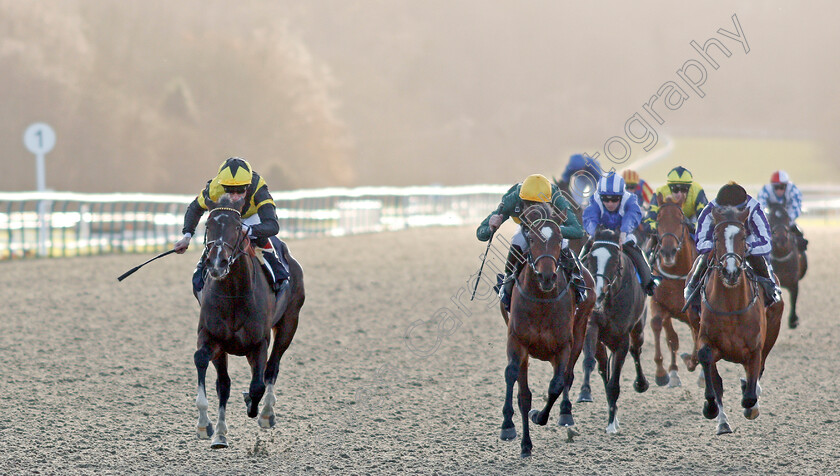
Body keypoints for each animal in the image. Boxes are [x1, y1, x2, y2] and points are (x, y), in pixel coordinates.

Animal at [194, 193, 306, 446]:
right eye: (208, 225)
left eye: (237, 227)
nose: (217, 263)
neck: (234, 293)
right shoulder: (212, 337)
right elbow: (208, 368)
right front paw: (209, 427)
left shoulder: (259, 343)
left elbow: (257, 386)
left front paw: (254, 408)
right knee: (227, 383)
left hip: (289, 323)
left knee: (272, 368)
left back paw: (266, 414)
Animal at [502, 204, 592, 458]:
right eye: (531, 238)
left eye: (560, 239)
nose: (547, 276)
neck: (542, 300)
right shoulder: (516, 341)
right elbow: (514, 379)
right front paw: (509, 427)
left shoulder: (564, 346)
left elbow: (556, 385)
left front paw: (539, 416)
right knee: (523, 392)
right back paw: (524, 442)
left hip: (579, 333)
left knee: (567, 376)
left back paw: (565, 413)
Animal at [576, 229, 648, 434]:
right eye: (590, 258)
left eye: (616, 261)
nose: (599, 291)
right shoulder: (591, 325)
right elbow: (589, 361)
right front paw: (585, 392)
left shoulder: (621, 339)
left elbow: (614, 383)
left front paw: (610, 425)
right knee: (602, 367)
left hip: (638, 328)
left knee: (636, 350)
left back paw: (641, 384)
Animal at [648, 193, 700, 386]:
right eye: (658, 220)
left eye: (681, 220)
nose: (668, 251)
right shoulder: (658, 302)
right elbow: (662, 329)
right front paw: (663, 373)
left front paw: (691, 362)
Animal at [696, 207, 780, 436]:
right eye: (716, 237)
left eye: (743, 237)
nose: (730, 271)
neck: (731, 307)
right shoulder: (707, 340)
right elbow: (706, 360)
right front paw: (709, 407)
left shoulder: (755, 348)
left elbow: (750, 393)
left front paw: (751, 405)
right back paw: (723, 423)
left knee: (758, 372)